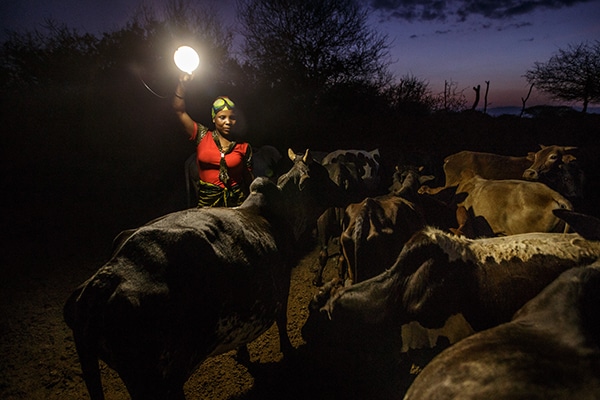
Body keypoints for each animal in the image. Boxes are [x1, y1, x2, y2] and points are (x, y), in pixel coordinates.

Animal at [63, 149, 344, 400]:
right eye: (321, 175)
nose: (342, 190)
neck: (281, 213)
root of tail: (100, 286)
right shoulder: (282, 282)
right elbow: (282, 321)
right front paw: (288, 350)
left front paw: (243, 354)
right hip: (160, 380)